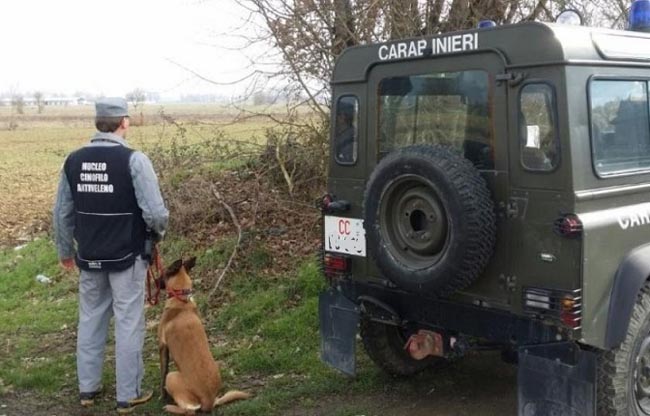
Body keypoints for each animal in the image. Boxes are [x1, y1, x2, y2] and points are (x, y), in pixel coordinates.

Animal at [158, 258, 249, 414]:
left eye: (164, 272)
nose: (155, 282)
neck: (182, 299)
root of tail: (210, 401)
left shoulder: (163, 347)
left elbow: (163, 372)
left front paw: (162, 397)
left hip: (173, 377)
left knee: (190, 411)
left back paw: (171, 407)